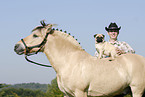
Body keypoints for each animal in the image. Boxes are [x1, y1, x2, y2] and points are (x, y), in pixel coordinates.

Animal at [14, 20, 145, 96]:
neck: (69, 62)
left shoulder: (80, 92)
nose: (16, 46)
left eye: (35, 35)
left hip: (137, 90)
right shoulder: (67, 94)